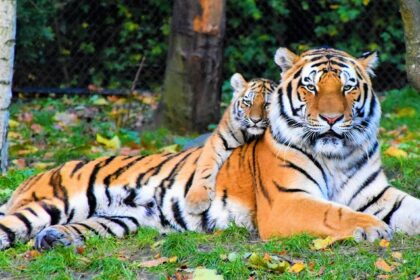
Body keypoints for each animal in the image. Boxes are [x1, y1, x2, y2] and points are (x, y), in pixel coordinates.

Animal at [0, 47, 418, 250]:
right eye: (311, 87)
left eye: (348, 87)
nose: (332, 119)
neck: (338, 155)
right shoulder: (287, 201)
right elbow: (336, 213)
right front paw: (375, 229)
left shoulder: (376, 194)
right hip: (49, 204)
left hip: (120, 220)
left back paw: (54, 240)